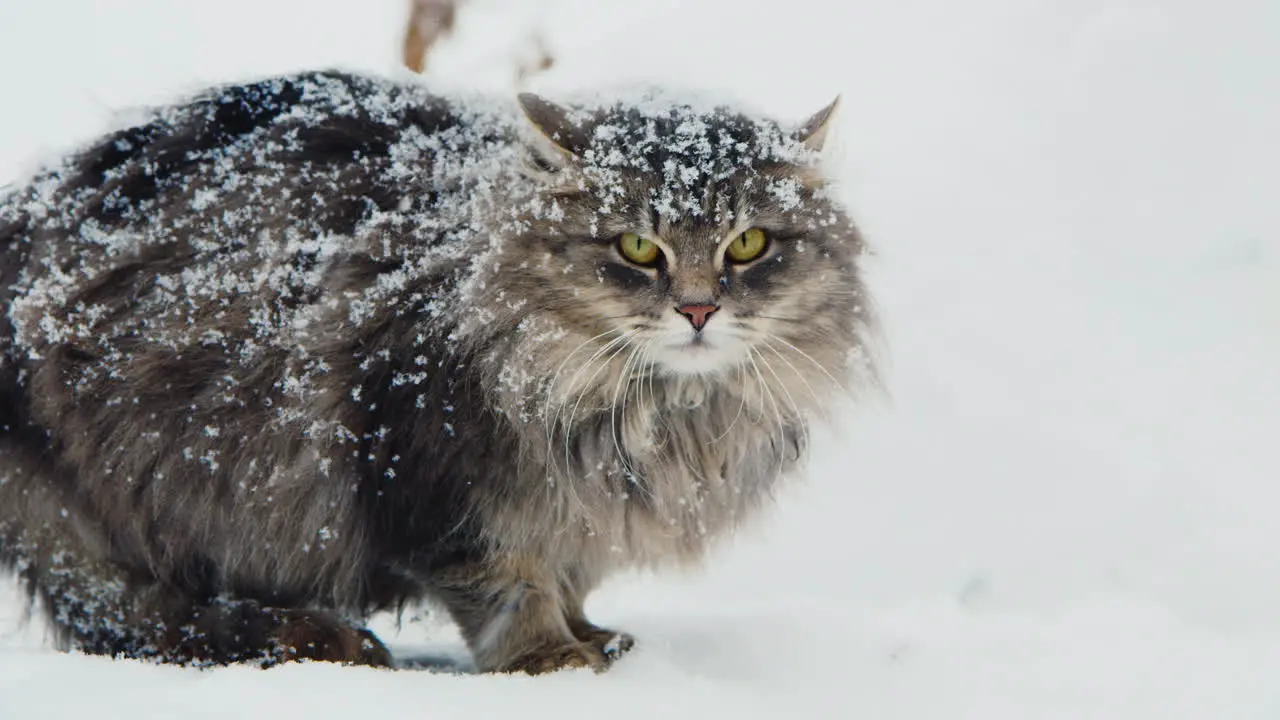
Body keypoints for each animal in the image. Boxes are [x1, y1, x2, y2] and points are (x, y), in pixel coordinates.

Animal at [0, 70, 870, 671]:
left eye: (748, 245)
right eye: (637, 248)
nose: (697, 310)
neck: (655, 412)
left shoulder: (573, 510)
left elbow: (569, 577)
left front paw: (592, 637)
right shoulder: (444, 477)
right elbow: (509, 585)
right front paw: (549, 660)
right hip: (92, 506)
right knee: (129, 617)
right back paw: (312, 637)